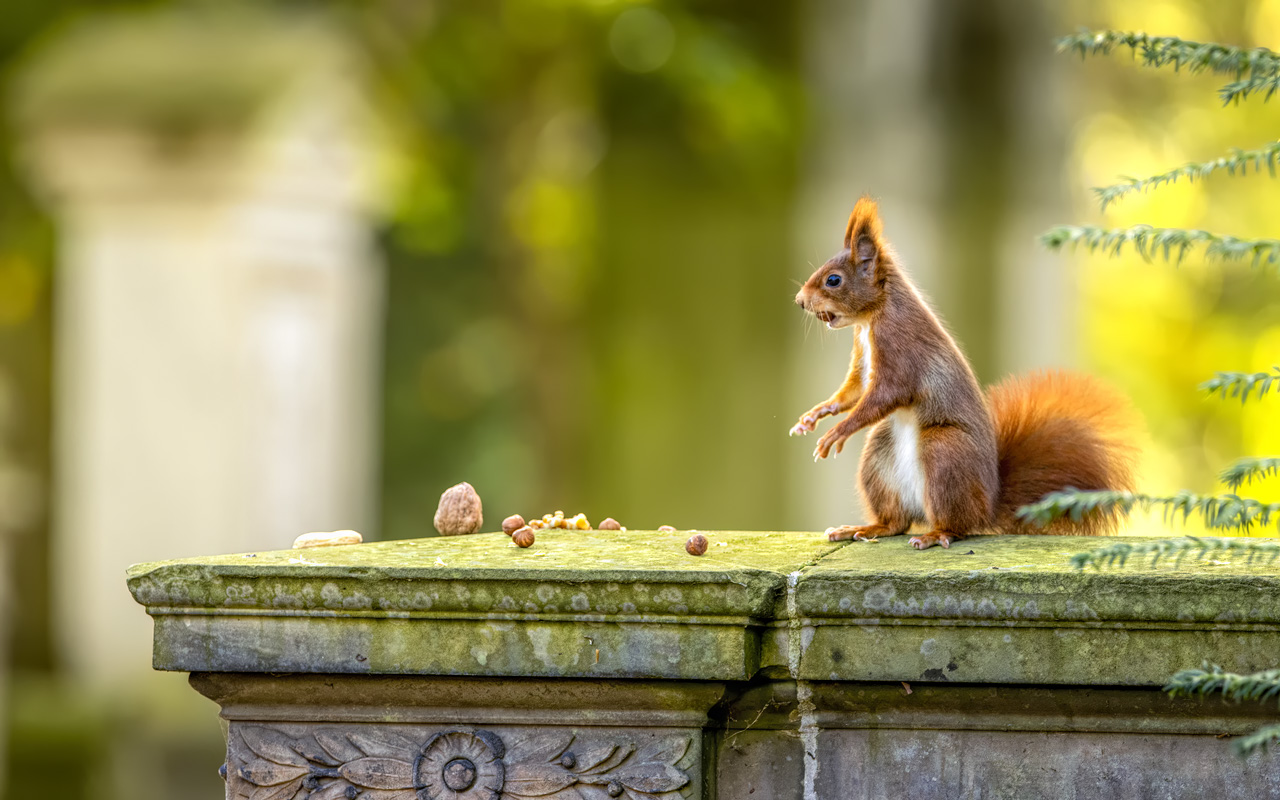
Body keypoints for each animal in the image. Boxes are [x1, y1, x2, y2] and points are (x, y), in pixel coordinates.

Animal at [788, 197, 1141, 552]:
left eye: (833, 280)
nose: (800, 301)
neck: (875, 314)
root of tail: (988, 504)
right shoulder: (864, 355)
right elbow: (855, 391)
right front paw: (814, 415)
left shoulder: (900, 348)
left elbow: (885, 394)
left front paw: (838, 432)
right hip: (879, 455)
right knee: (897, 522)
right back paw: (867, 527)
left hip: (943, 449)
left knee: (959, 525)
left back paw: (936, 534)